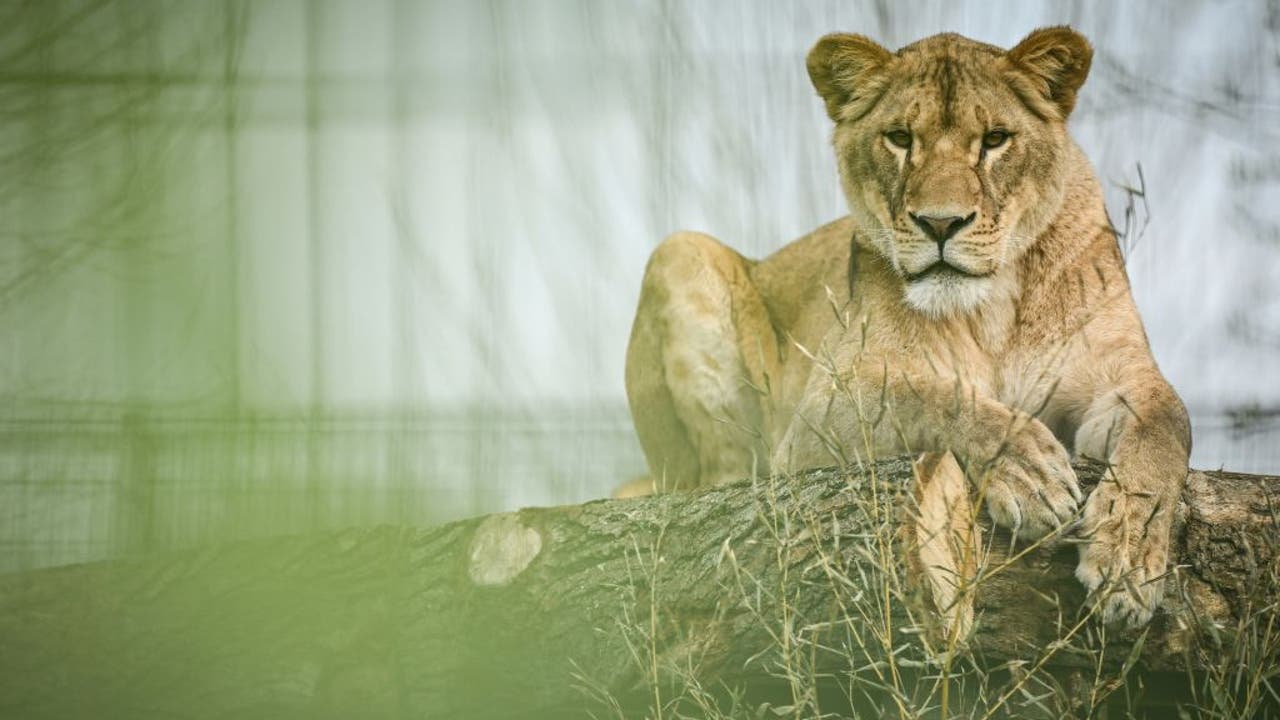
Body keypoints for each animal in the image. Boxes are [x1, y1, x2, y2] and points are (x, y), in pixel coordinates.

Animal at [621, 27, 1191, 629]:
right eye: (899, 138)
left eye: (994, 140)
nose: (941, 224)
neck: (992, 311)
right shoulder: (819, 414)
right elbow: (931, 397)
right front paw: (1028, 471)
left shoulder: (1117, 372)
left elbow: (1166, 424)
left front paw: (1129, 559)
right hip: (680, 251)